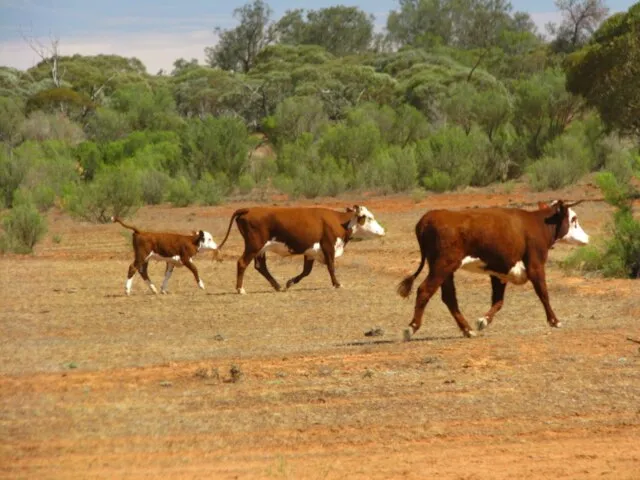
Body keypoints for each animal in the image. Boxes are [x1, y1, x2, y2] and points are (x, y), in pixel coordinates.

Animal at [216, 205, 384, 294]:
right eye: (369, 218)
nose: (382, 231)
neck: (339, 222)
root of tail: (249, 209)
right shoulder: (328, 246)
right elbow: (331, 267)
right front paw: (337, 284)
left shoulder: (311, 251)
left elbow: (306, 271)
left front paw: (290, 282)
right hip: (253, 246)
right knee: (242, 263)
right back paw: (240, 289)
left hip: (260, 249)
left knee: (260, 266)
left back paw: (278, 286)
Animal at [396, 201, 592, 340]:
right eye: (574, 219)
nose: (587, 238)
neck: (537, 224)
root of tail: (428, 217)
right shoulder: (535, 266)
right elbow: (543, 293)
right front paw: (555, 321)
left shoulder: (500, 273)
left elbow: (498, 300)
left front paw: (483, 320)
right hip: (442, 266)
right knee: (425, 290)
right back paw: (411, 328)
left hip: (445, 270)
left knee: (449, 297)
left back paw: (468, 330)